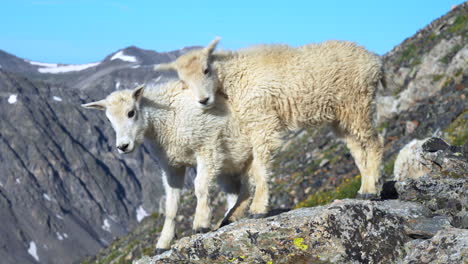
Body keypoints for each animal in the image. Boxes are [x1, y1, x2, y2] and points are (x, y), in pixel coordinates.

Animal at [82, 81, 254, 252]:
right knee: (234, 192)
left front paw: (201, 223)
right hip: (227, 168)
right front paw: (163, 243)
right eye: (109, 119)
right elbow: (171, 205)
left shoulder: (208, 148)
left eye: (131, 112)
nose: (123, 146)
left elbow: (199, 186)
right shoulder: (172, 166)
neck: (169, 117)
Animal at [156, 38, 384, 218]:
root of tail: (375, 61)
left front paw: (258, 208)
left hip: (358, 102)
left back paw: (371, 189)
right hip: (342, 115)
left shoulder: (262, 119)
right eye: (183, 81)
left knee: (374, 141)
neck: (235, 75)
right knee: (357, 149)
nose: (203, 100)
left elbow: (259, 167)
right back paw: (365, 188)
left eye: (206, 70)